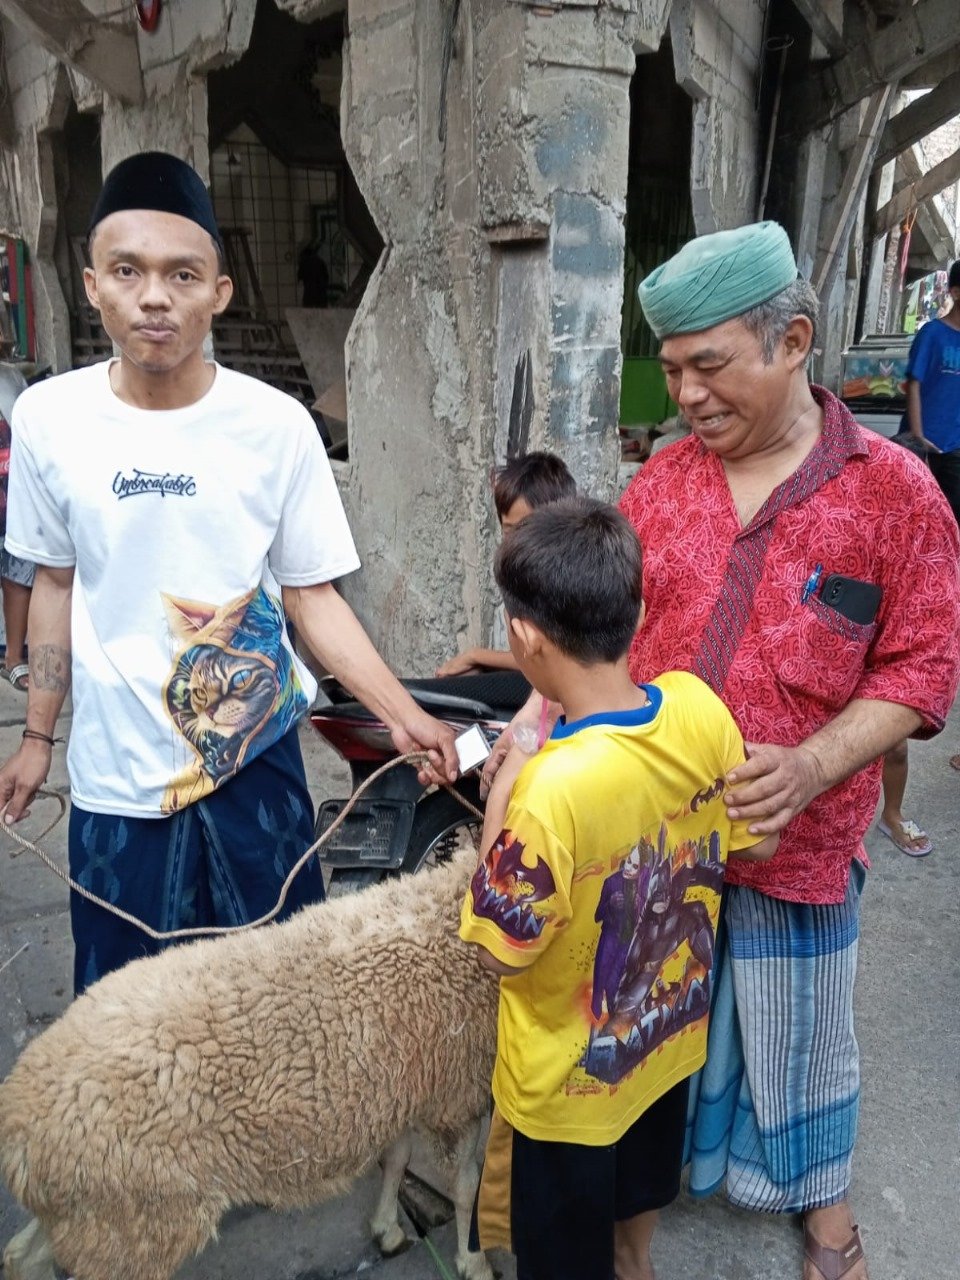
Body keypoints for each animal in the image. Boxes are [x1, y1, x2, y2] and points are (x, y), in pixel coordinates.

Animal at [0, 844, 496, 1274]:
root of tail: (18, 1131)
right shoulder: (460, 1096)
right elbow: (467, 1186)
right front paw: (473, 1263)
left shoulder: (408, 1086)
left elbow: (397, 1159)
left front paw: (387, 1230)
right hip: (137, 1227)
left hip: (92, 1221)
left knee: (21, 1255)